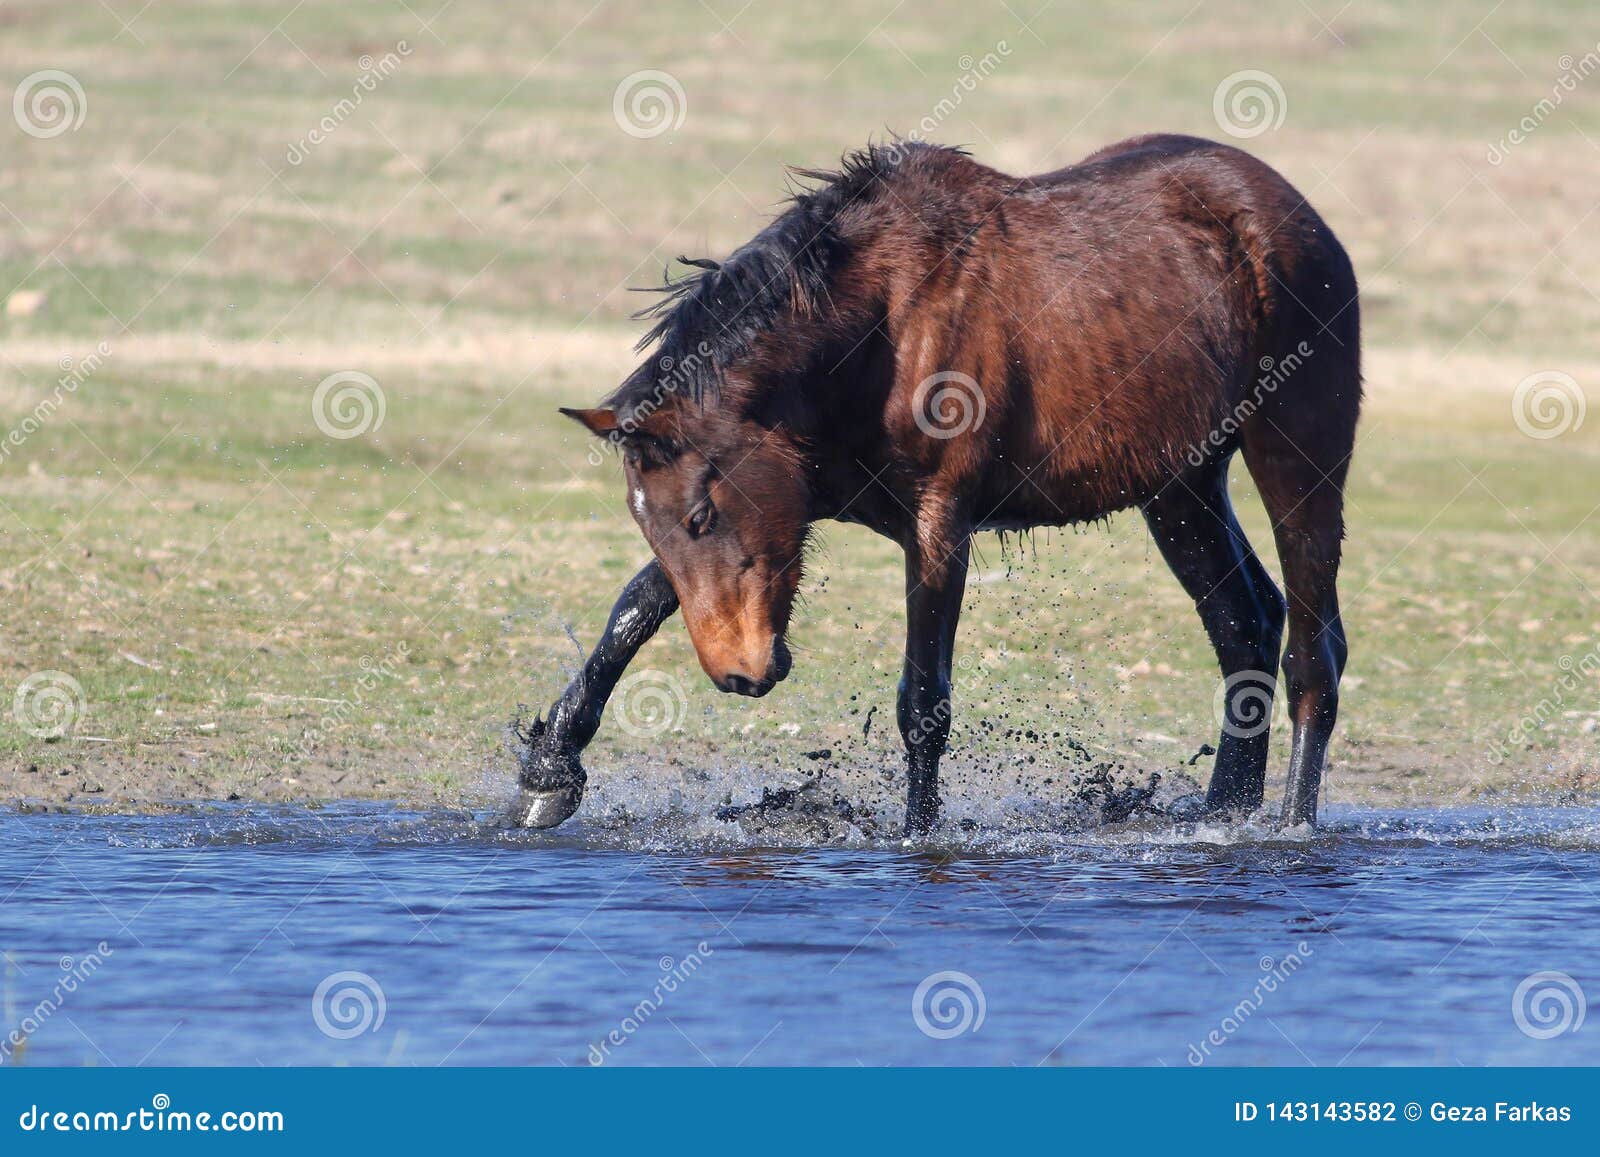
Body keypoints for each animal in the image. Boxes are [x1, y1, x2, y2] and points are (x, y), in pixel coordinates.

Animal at [521, 136, 1363, 838]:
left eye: (701, 514)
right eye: (652, 522)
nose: (741, 673)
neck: (877, 334)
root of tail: (1299, 219)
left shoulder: (939, 522)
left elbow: (923, 698)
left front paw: (917, 834)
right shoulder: (808, 495)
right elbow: (634, 608)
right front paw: (550, 767)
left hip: (1297, 461)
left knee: (1312, 652)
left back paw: (1291, 825)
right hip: (1181, 489)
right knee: (1244, 625)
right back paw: (1224, 813)